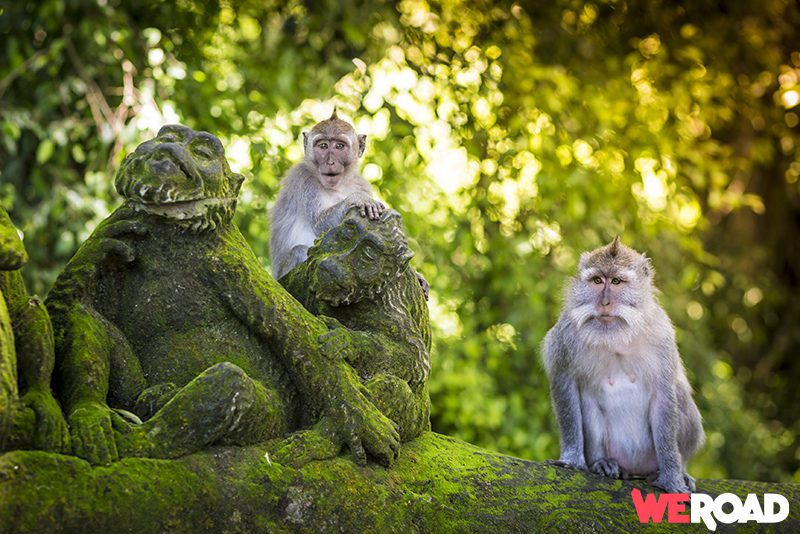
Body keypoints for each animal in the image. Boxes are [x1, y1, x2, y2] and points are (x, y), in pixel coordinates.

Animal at [269, 109, 387, 280]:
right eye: (323, 146)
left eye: (339, 146)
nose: (330, 162)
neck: (338, 186)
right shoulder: (305, 180)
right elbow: (319, 223)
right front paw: (357, 199)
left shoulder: (361, 184)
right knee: (299, 250)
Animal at [542, 236, 704, 493]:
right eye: (598, 281)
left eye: (616, 281)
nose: (604, 302)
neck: (616, 336)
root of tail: (634, 469)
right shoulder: (565, 336)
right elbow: (564, 384)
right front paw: (572, 459)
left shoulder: (662, 335)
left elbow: (665, 397)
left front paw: (673, 478)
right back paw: (603, 462)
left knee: (680, 395)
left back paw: (675, 470)